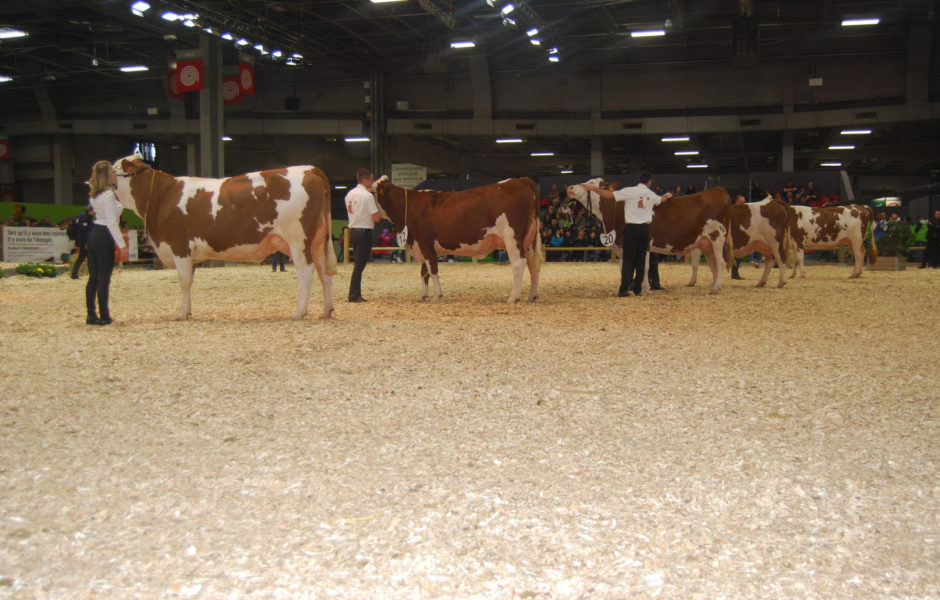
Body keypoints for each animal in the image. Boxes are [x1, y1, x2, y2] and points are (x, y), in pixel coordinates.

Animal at [113, 155, 338, 322]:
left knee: (306, 272)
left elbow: (184, 281)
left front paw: (181, 314)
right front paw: (188, 311)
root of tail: (311, 169)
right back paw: (326, 311)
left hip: (298, 240)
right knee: (324, 274)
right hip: (317, 243)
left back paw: (299, 312)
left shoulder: (180, 246)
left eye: (113, 170)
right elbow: (190, 281)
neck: (163, 195)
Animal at [370, 176, 540, 302]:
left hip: (512, 237)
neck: (409, 207)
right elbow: (424, 271)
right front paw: (422, 295)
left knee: (518, 263)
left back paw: (513, 297)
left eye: (372, 192)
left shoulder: (425, 242)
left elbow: (432, 270)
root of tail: (521, 180)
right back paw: (532, 296)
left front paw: (437, 296)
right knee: (533, 265)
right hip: (528, 241)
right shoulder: (422, 245)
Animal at [564, 180, 736, 298]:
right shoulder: (621, 246)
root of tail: (719, 190)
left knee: (720, 263)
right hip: (706, 243)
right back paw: (716, 286)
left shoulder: (645, 244)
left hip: (717, 237)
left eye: (591, 183)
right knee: (713, 265)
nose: (570, 187)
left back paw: (714, 289)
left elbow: (644, 267)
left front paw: (645, 289)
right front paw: (624, 288)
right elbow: (624, 268)